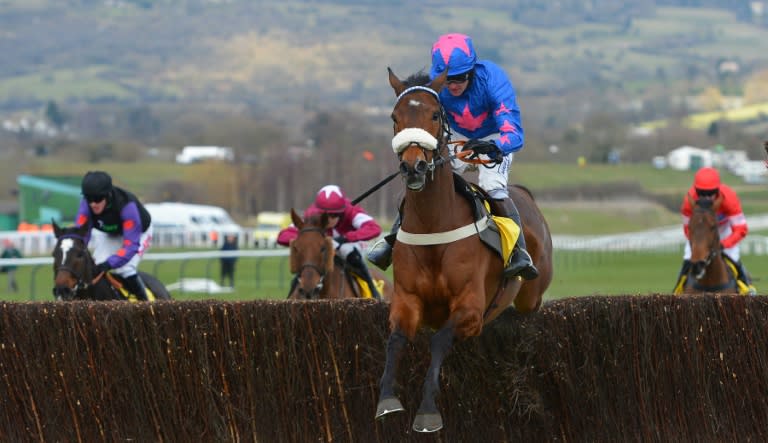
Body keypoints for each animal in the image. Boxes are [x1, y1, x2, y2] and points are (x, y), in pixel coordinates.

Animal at [374, 69, 548, 434]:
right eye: (395, 117)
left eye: (434, 115)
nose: (414, 167)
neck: (433, 226)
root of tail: (525, 194)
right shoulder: (406, 301)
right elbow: (395, 340)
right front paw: (387, 400)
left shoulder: (470, 309)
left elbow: (440, 340)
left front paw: (427, 411)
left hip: (531, 294)